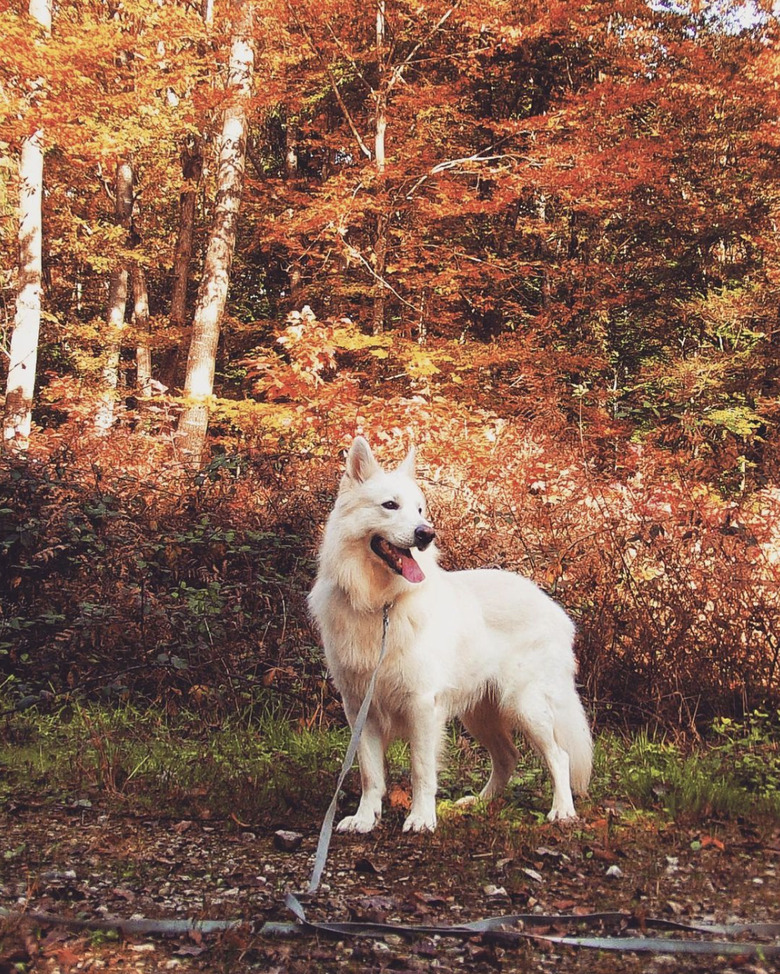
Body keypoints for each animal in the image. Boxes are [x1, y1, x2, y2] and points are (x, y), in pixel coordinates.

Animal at [308, 438, 588, 836]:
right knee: (508, 757)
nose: (427, 534)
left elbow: (421, 770)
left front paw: (421, 818)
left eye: (420, 509)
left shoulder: (422, 706)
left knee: (559, 756)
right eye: (390, 505)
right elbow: (370, 773)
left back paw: (562, 811)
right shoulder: (360, 708)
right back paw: (479, 803)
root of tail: (552, 606)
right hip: (481, 713)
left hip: (526, 706)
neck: (383, 606)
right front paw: (365, 818)